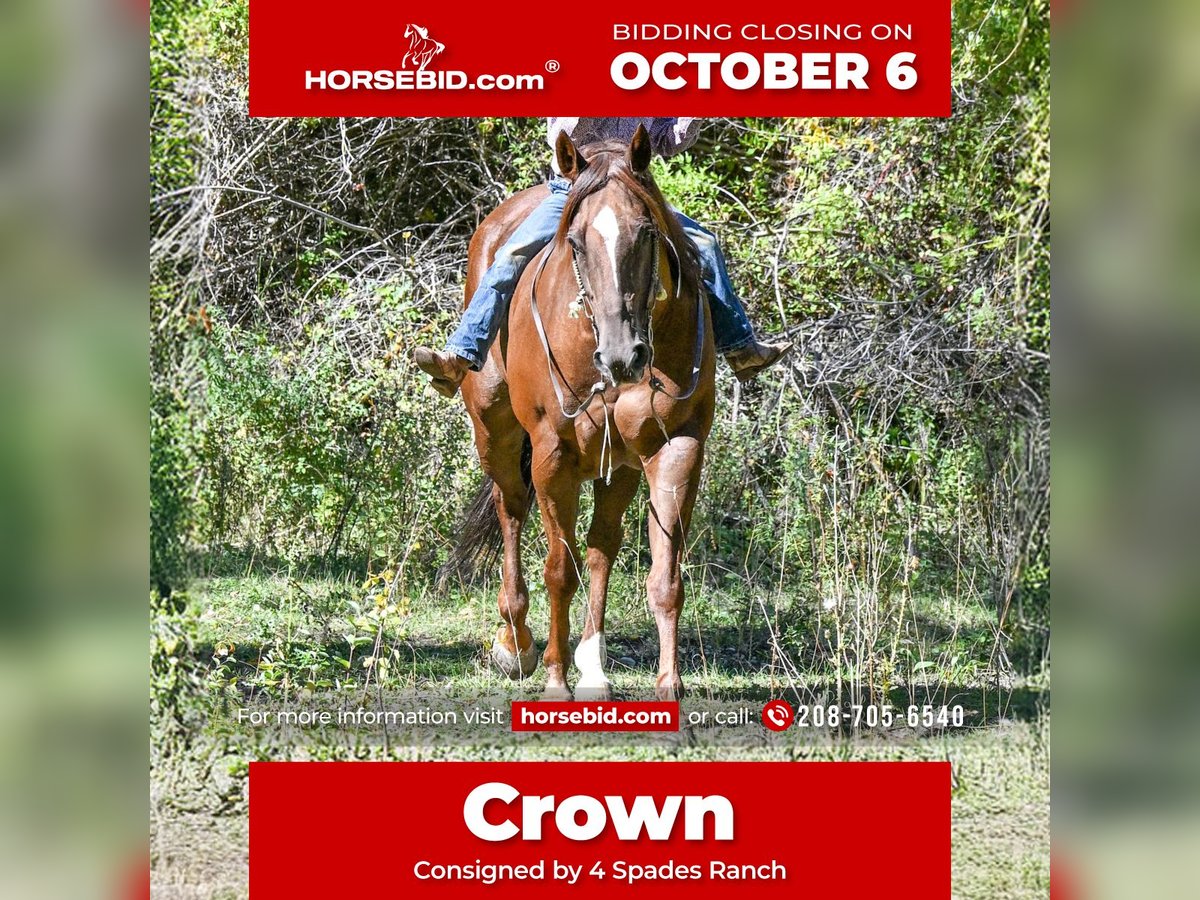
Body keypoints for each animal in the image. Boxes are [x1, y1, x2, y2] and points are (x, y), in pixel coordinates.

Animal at [452, 125, 716, 701]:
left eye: (647, 232)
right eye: (575, 242)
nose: (622, 356)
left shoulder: (676, 447)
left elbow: (664, 577)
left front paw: (668, 683)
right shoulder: (554, 455)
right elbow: (559, 570)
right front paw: (555, 680)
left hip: (617, 464)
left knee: (600, 548)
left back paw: (592, 668)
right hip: (497, 434)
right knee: (511, 511)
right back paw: (516, 644)